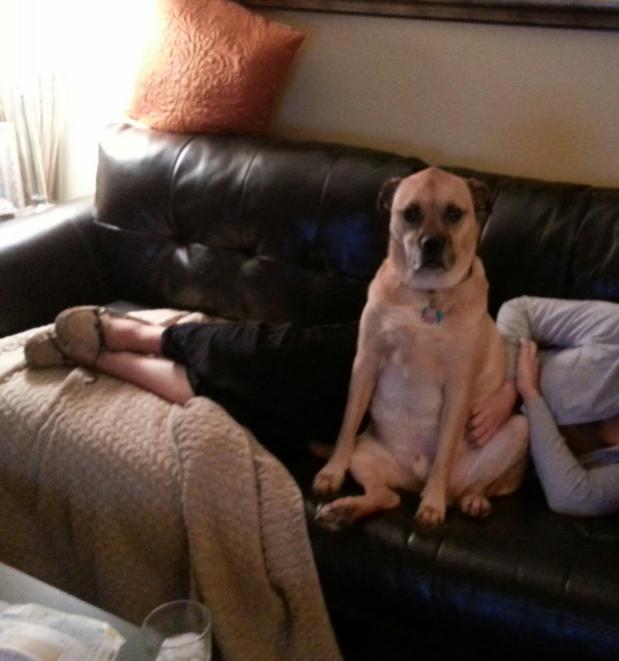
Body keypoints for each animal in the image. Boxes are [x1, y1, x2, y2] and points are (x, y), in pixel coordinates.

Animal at [312, 167, 529, 529]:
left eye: (454, 213)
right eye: (410, 213)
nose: (431, 244)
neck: (426, 294)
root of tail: (413, 481)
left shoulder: (458, 385)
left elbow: (443, 454)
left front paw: (432, 505)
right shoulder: (366, 361)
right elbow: (347, 424)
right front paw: (331, 473)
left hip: (517, 431)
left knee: (481, 486)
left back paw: (470, 501)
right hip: (365, 456)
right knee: (387, 495)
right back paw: (345, 510)